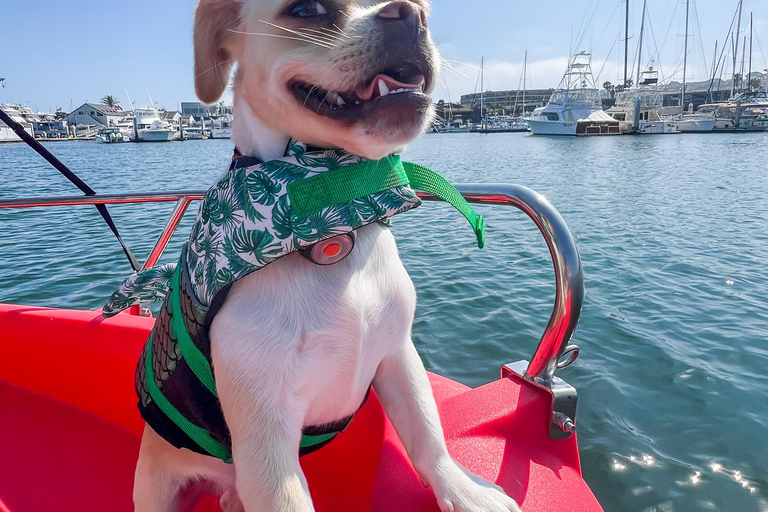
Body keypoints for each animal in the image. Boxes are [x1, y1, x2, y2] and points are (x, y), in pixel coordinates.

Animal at [135, 1, 520, 512]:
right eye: (307, 9)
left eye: (425, 8)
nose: (411, 14)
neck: (335, 227)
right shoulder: (266, 442)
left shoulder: (398, 355)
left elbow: (427, 431)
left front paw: (465, 490)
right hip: (158, 486)